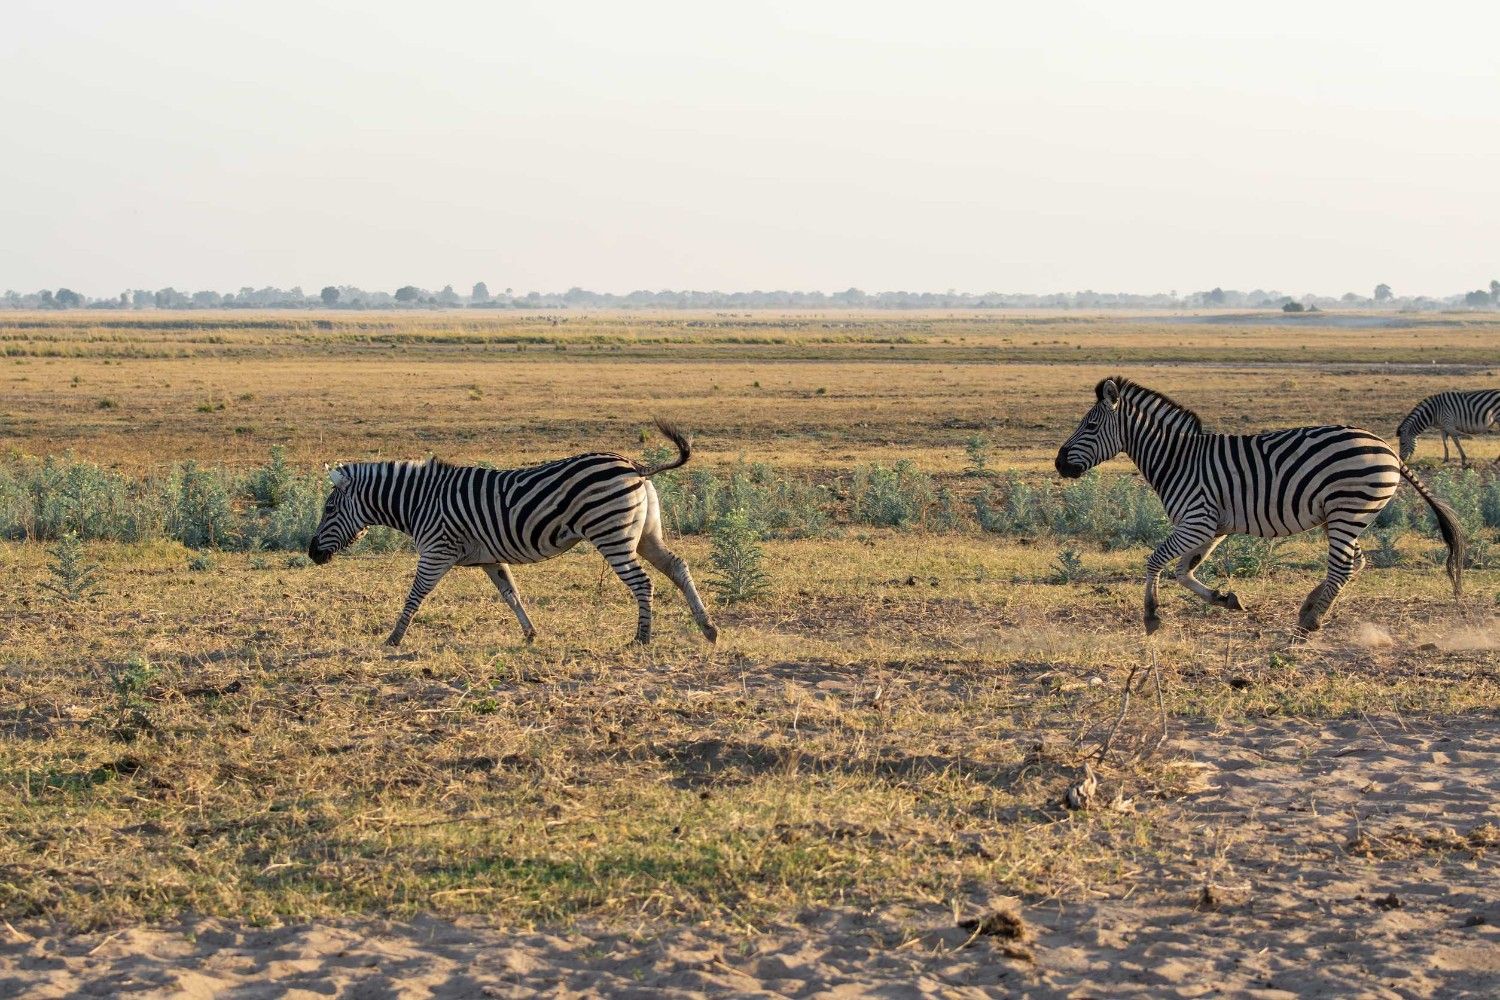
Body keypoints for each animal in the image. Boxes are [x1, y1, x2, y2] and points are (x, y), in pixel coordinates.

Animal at [308, 421, 718, 647]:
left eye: (328, 510)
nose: (312, 553)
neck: (419, 502)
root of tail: (635, 465)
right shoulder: (490, 558)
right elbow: (511, 595)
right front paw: (532, 634)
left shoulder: (437, 551)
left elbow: (414, 596)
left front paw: (393, 639)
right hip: (645, 534)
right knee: (677, 567)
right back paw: (708, 628)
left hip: (612, 534)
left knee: (643, 582)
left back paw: (642, 638)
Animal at [1055, 377, 1463, 635]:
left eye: (1090, 426)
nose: (1059, 464)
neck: (1178, 459)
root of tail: (1388, 448)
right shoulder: (1212, 527)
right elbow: (1183, 572)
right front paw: (1224, 599)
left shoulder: (1198, 521)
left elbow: (1156, 561)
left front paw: (1152, 616)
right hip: (1344, 515)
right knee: (1355, 562)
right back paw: (1310, 607)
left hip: (1348, 510)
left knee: (1343, 566)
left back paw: (1310, 620)